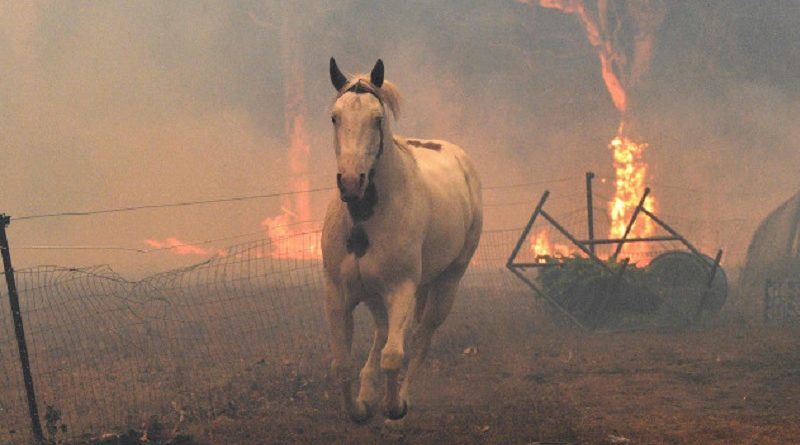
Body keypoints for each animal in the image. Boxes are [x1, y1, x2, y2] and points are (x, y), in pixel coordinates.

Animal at [322, 57, 484, 422]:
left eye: (377, 119)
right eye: (335, 117)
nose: (351, 182)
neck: (364, 220)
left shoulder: (401, 289)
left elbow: (394, 355)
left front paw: (392, 406)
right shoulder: (339, 293)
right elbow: (341, 364)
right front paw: (359, 409)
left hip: (446, 283)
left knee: (421, 336)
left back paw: (401, 398)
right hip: (375, 294)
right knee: (383, 331)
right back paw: (368, 391)